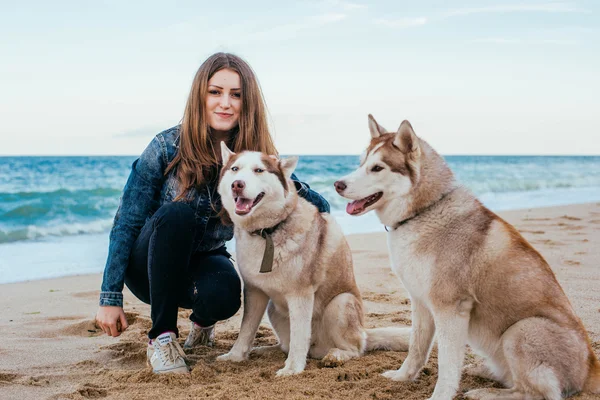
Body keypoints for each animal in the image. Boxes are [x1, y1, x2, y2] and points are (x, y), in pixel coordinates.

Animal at [213, 142, 410, 376]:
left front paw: (292, 369)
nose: (237, 185)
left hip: (340, 303)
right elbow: (246, 329)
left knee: (354, 348)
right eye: (235, 169)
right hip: (274, 308)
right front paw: (235, 356)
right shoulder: (255, 291)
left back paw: (336, 355)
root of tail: (364, 332)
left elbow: (300, 336)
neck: (268, 232)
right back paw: (266, 350)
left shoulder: (301, 294)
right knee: (286, 345)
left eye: (258, 170)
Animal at [332, 114, 600, 398]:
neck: (423, 211)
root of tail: (590, 368)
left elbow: (448, 365)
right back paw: (483, 371)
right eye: (361, 163)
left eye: (377, 168)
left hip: (521, 330)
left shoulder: (450, 308)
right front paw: (402, 377)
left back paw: (484, 393)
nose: (338, 184)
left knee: (533, 393)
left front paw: (440, 395)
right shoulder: (420, 302)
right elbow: (416, 348)